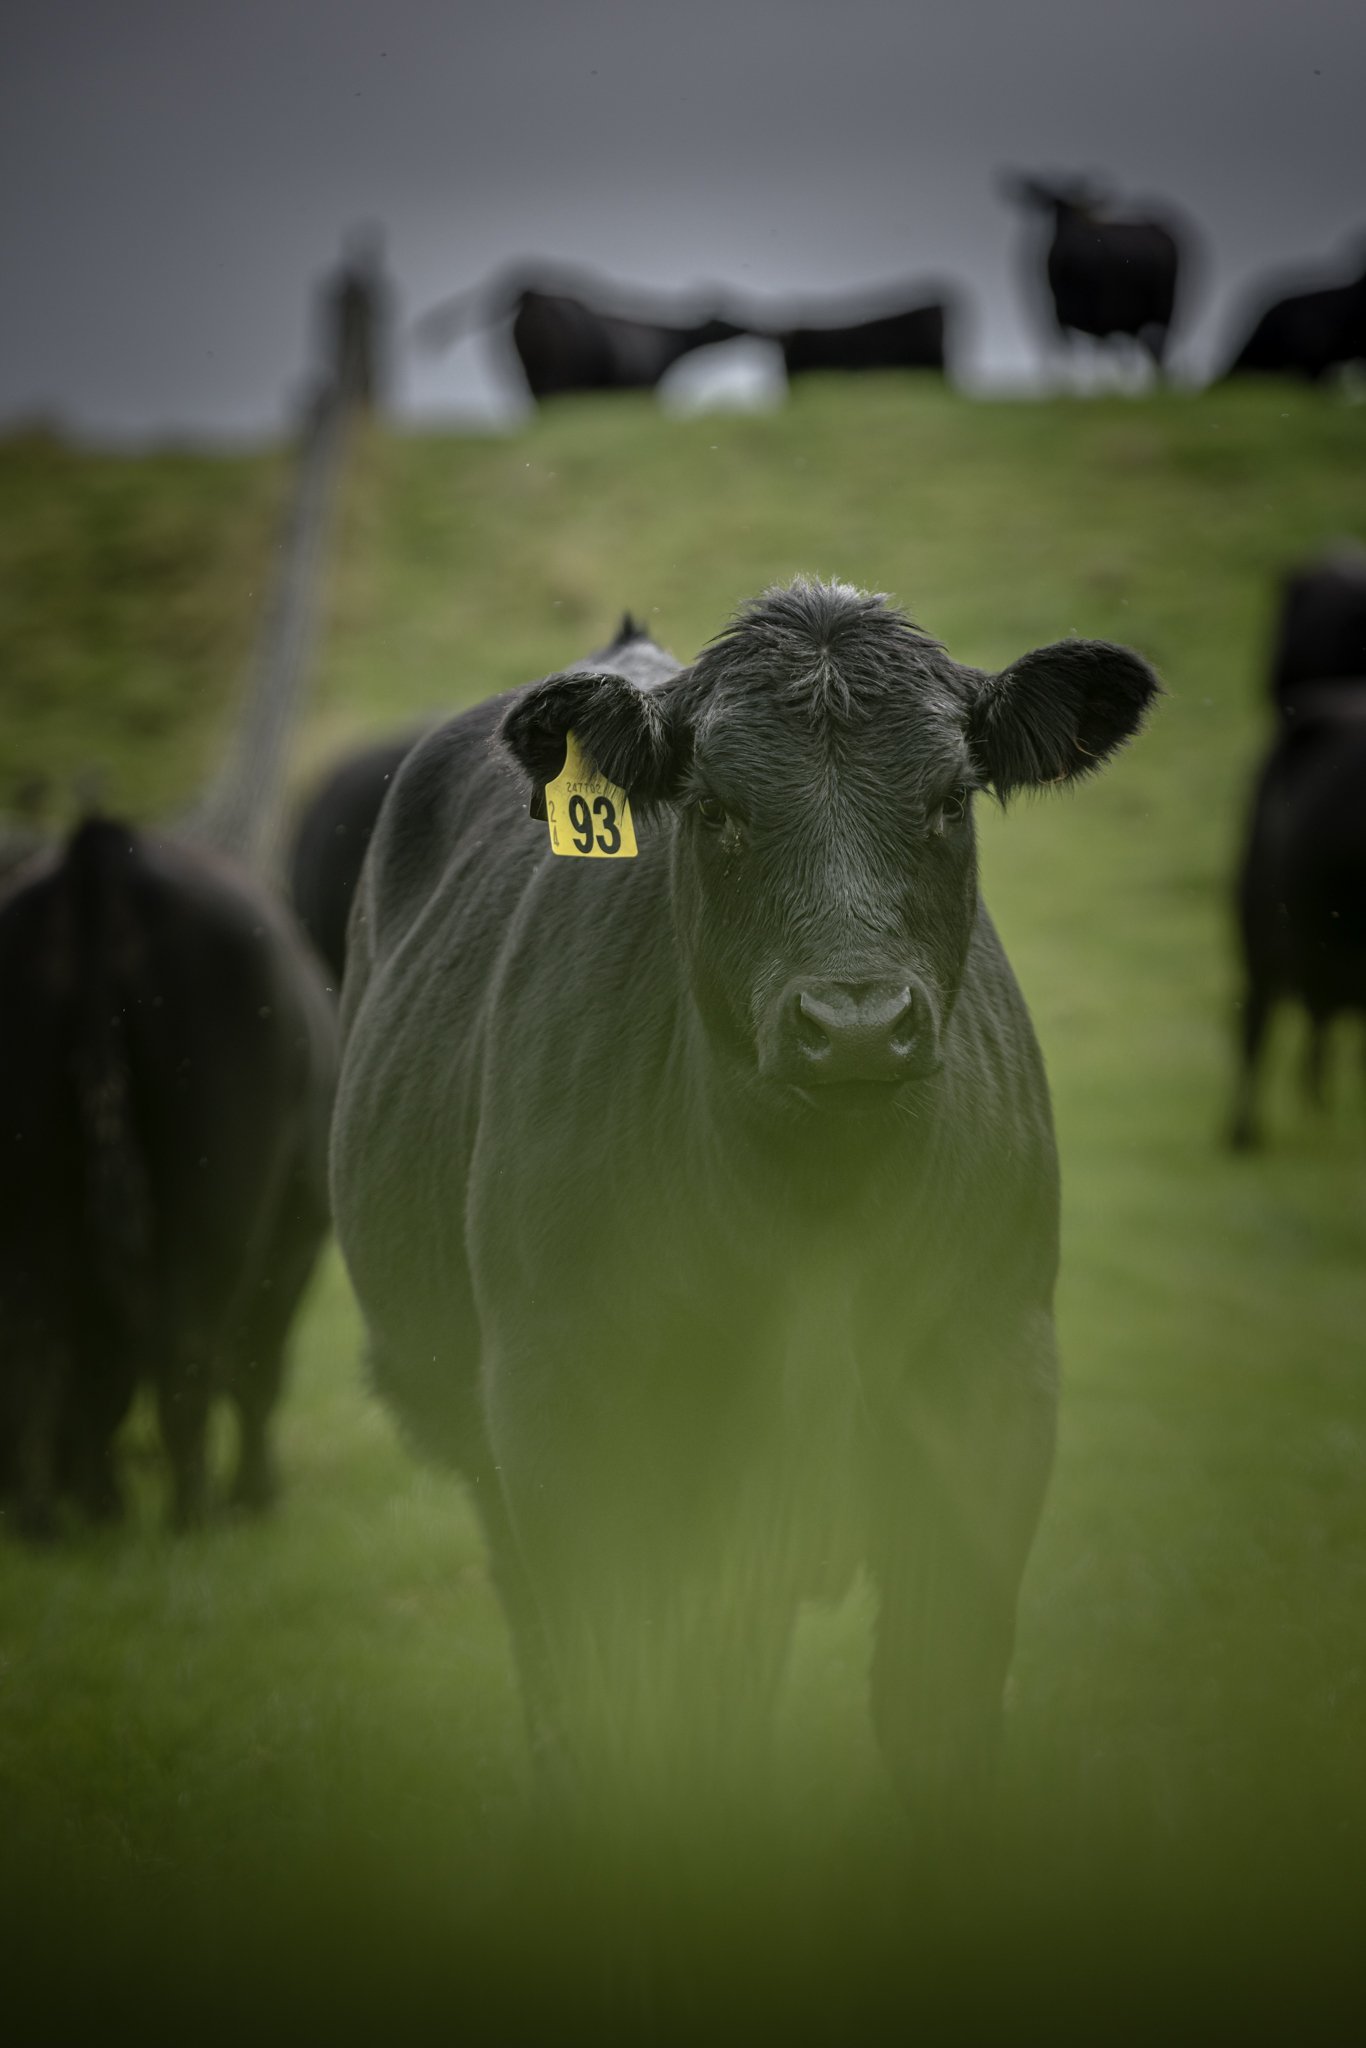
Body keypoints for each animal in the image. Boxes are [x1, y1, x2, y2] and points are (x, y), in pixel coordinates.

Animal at [0, 816, 336, 1536]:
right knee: (187, 1354)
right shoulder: (295, 1241)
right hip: (217, 1209)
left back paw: (48, 1526)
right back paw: (196, 1518)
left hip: (25, 1214)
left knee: (35, 1356)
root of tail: (98, 849)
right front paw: (257, 1494)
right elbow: (258, 1365)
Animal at [331, 580, 1158, 1820]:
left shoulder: (991, 1390)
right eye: (714, 808)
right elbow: (635, 1731)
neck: (816, 1201)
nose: (856, 1022)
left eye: (948, 798)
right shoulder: (567, 1424)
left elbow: (934, 1723)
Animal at [415, 268, 746, 403]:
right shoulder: (645, 390)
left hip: (530, 380)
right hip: (554, 380)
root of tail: (531, 294)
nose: (751, 327)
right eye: (726, 319)